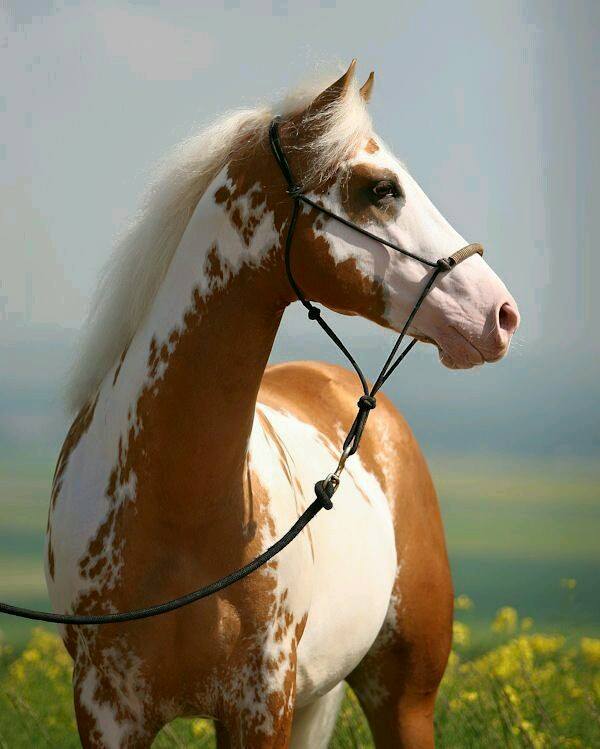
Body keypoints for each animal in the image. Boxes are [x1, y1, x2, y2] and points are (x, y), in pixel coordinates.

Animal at [45, 61, 519, 748]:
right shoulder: (107, 711)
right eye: (381, 188)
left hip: (402, 698)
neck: (179, 513)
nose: (500, 313)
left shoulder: (262, 701)